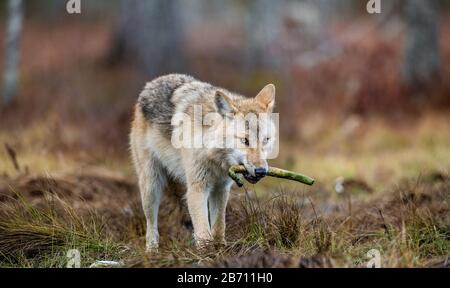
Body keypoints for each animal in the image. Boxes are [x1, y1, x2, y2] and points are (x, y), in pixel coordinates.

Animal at [130, 74, 276, 250]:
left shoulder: (221, 189)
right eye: (245, 141)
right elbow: (204, 232)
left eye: (266, 140)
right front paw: (207, 252)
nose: (261, 171)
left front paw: (220, 248)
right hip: (151, 187)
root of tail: (150, 84)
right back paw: (152, 251)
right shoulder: (197, 189)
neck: (215, 157)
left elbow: (219, 226)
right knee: (151, 227)